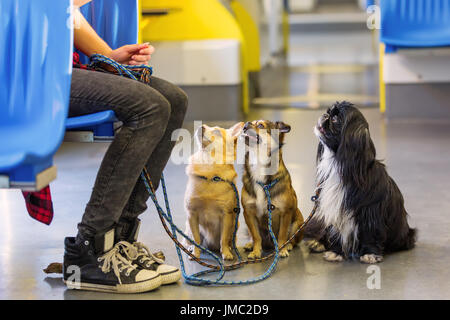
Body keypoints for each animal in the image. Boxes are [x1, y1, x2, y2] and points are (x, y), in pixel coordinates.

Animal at [184, 122, 244, 260]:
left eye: (217, 132)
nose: (201, 126)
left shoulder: (226, 215)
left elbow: (224, 238)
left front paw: (226, 253)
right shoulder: (191, 214)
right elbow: (196, 238)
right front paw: (196, 254)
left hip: (236, 224)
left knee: (229, 240)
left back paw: (231, 248)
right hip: (187, 227)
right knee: (189, 240)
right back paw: (190, 248)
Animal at [241, 119, 304, 258]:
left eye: (260, 125)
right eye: (251, 122)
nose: (246, 124)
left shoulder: (285, 212)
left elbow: (282, 234)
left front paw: (282, 250)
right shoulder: (248, 213)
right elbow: (256, 236)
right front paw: (256, 251)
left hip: (298, 223)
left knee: (292, 239)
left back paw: (288, 245)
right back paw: (250, 244)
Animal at [304, 101, 416, 264]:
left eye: (335, 119)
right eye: (328, 112)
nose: (325, 115)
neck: (340, 166)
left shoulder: (370, 213)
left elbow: (370, 234)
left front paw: (370, 254)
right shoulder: (335, 210)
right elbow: (335, 233)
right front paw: (335, 252)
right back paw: (317, 243)